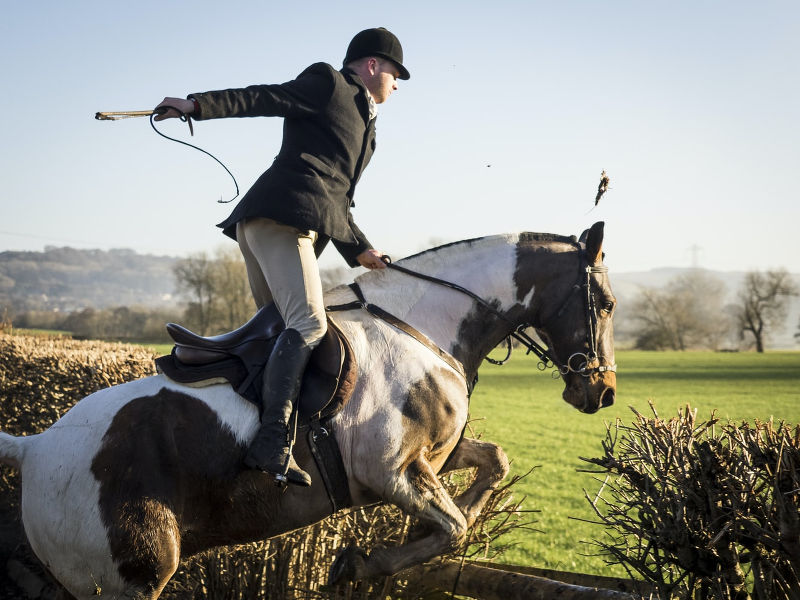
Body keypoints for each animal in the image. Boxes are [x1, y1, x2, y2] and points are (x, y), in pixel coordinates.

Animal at [0, 221, 620, 600]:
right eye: (609, 304)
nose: (604, 392)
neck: (422, 325)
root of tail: (35, 446)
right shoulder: (388, 471)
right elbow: (454, 526)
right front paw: (360, 564)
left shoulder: (433, 459)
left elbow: (493, 464)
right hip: (128, 577)